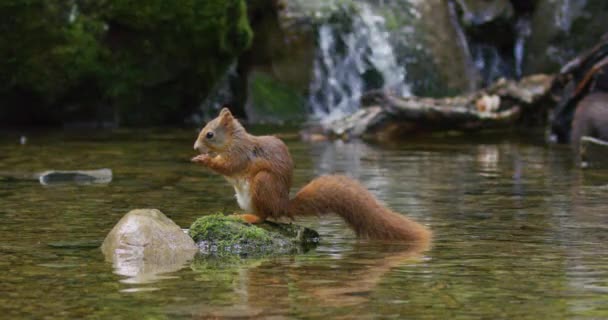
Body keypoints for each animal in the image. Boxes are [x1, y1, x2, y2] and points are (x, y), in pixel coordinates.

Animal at [192, 108, 430, 242]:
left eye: (209, 134)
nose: (195, 147)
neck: (233, 140)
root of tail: (282, 205)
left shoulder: (240, 154)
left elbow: (229, 166)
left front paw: (204, 159)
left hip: (262, 183)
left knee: (265, 216)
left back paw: (248, 218)